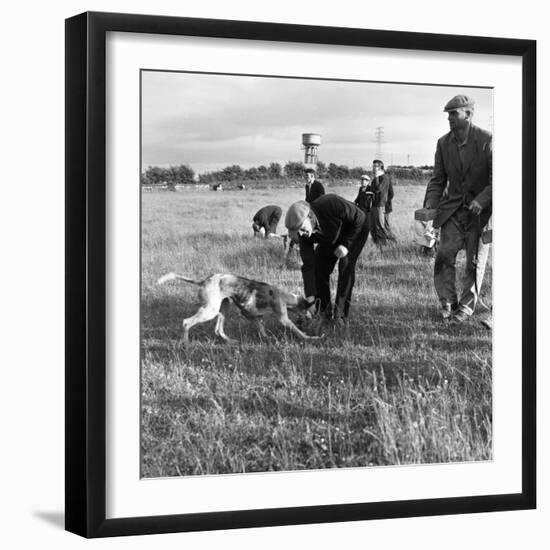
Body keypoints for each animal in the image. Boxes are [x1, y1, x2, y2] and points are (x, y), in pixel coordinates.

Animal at [157, 272, 320, 344]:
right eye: (311, 311)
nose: (313, 319)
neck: (284, 296)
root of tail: (204, 280)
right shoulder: (284, 320)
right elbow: (299, 332)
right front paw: (311, 337)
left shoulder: (253, 317)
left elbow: (262, 331)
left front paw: (268, 339)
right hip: (210, 311)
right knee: (186, 322)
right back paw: (186, 344)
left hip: (223, 308)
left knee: (218, 330)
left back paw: (231, 341)